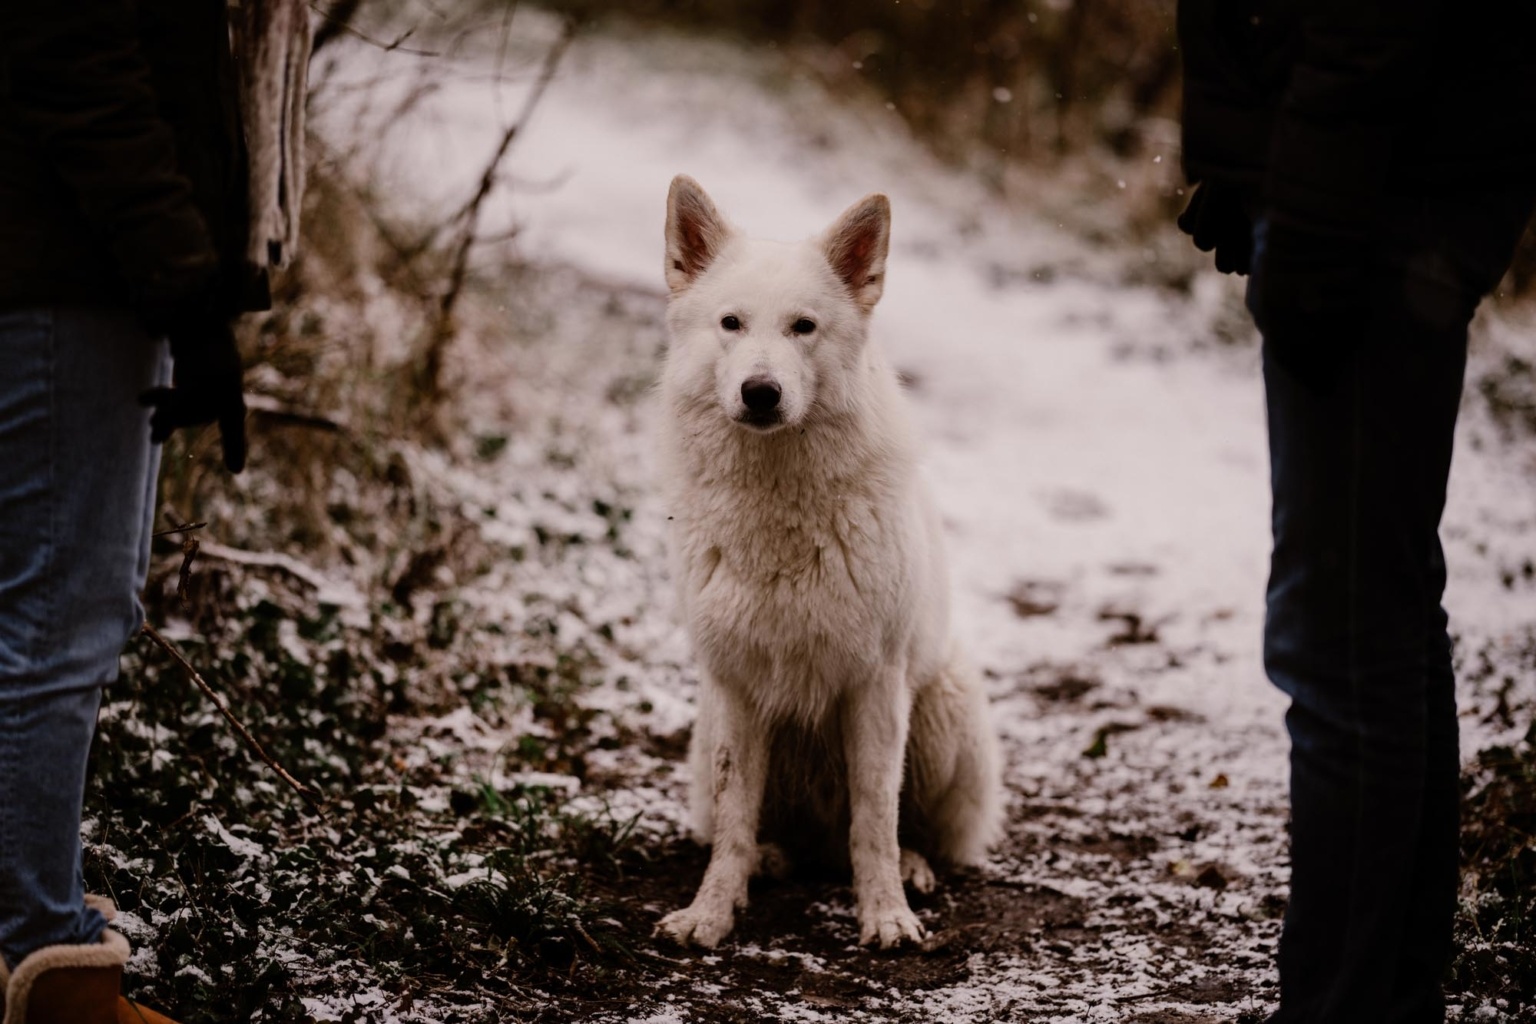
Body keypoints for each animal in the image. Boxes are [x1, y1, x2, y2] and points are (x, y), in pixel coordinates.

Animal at [654, 176, 1001, 951]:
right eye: (731, 324)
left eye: (803, 328)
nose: (760, 392)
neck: (779, 500)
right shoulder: (737, 687)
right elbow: (733, 819)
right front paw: (711, 914)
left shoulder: (875, 685)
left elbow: (873, 817)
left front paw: (886, 916)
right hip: (710, 729)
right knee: (752, 829)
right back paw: (770, 860)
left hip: (942, 707)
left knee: (905, 831)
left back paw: (913, 867)